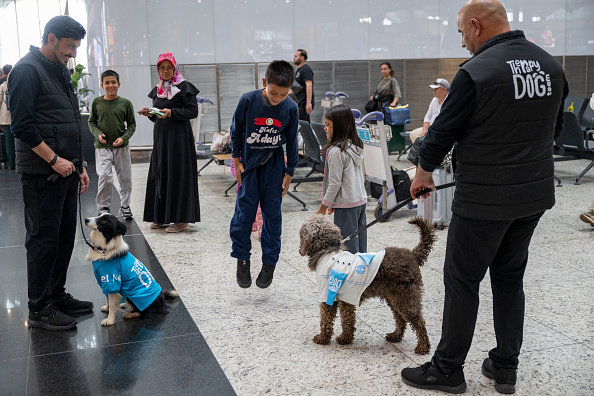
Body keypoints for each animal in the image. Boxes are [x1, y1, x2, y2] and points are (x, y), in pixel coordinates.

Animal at [298, 215, 432, 354]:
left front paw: (324, 338)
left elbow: (327, 319)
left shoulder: (329, 296)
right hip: (394, 298)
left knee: (419, 322)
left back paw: (423, 346)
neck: (326, 251)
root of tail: (412, 255)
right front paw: (345, 338)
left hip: (406, 299)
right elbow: (348, 320)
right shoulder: (345, 299)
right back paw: (395, 336)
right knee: (400, 319)